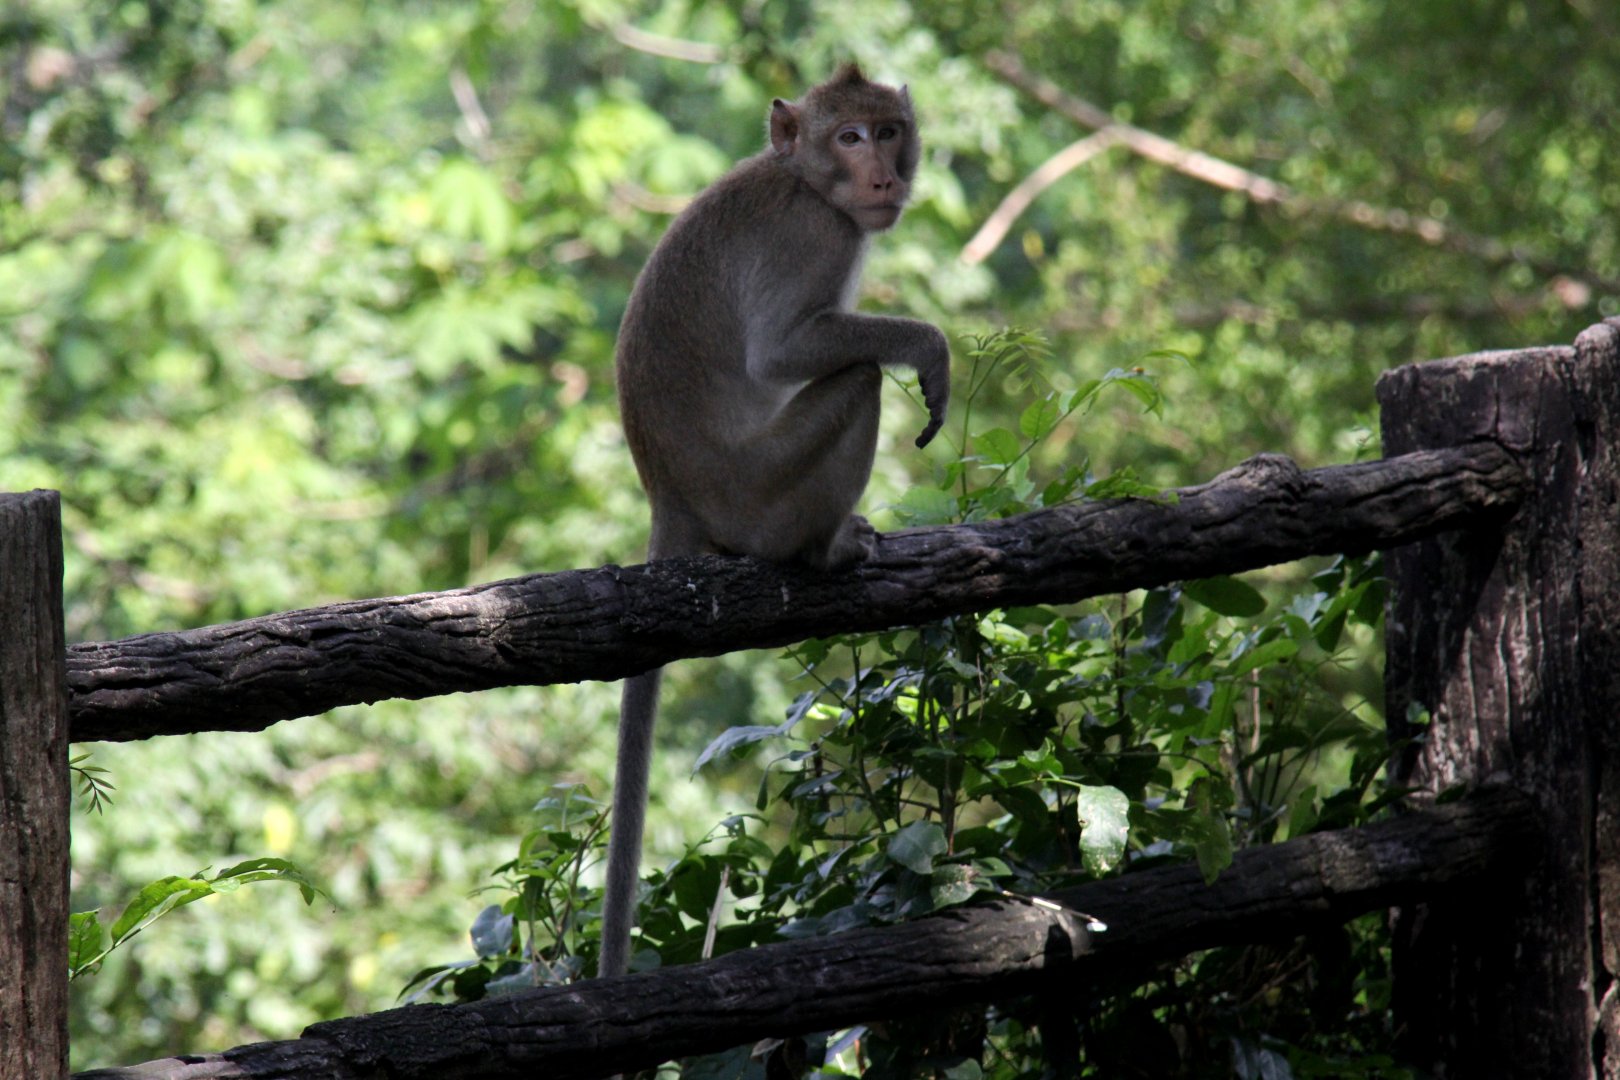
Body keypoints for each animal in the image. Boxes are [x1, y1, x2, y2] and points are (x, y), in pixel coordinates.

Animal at [600, 64, 950, 977]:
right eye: (850, 138)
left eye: (889, 131)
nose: (883, 176)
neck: (804, 180)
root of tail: (670, 494)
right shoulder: (815, 236)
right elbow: (784, 352)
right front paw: (929, 347)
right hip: (761, 494)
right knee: (856, 376)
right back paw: (826, 550)